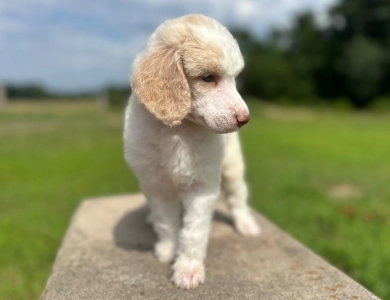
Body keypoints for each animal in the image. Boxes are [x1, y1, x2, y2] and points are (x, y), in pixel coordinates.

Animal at [123, 13, 260, 288]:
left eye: (234, 79)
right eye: (208, 78)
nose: (245, 119)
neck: (180, 130)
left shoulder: (202, 187)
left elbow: (194, 231)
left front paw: (187, 269)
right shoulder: (155, 185)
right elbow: (166, 222)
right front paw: (167, 250)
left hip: (232, 166)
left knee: (238, 196)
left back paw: (245, 224)